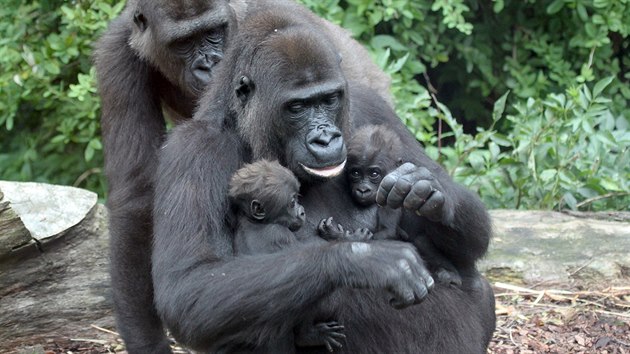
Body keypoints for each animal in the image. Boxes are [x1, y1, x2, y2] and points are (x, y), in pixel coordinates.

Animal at [230, 160, 346, 352]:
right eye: (292, 202)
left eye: (297, 199)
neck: (257, 221)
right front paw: (342, 238)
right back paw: (308, 336)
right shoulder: (280, 233)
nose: (302, 211)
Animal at [320, 126, 464, 286]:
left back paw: (450, 274)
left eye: (374, 174)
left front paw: (344, 236)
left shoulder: (390, 197)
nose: (363, 190)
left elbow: (388, 232)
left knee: (421, 241)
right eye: (355, 173)